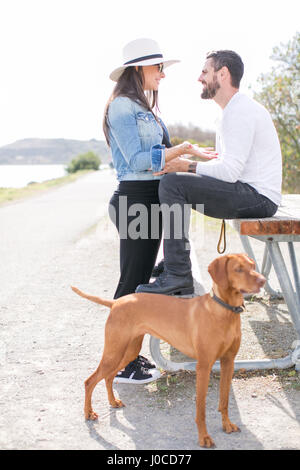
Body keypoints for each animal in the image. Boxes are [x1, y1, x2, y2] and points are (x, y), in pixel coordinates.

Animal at [71, 253, 264, 448]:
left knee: (109, 376)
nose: (263, 280)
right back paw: (88, 413)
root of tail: (116, 302)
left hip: (129, 351)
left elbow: (224, 400)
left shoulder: (228, 362)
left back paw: (112, 401)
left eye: (252, 265)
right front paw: (203, 437)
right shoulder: (203, 366)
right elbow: (201, 409)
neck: (224, 312)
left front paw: (227, 425)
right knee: (90, 381)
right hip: (114, 351)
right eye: (238, 269)